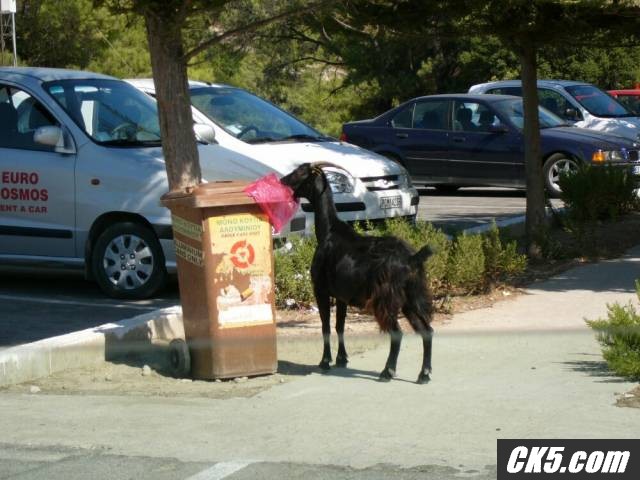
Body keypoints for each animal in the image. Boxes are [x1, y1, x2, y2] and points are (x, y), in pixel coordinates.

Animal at [280, 163, 435, 384]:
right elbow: (340, 326)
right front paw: (342, 359)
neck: (329, 231)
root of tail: (412, 259)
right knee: (427, 330)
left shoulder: (320, 289)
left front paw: (325, 362)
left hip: (385, 299)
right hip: (411, 297)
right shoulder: (342, 295)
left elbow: (326, 326)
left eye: (301, 172)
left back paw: (387, 372)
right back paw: (424, 374)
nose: (282, 180)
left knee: (397, 333)